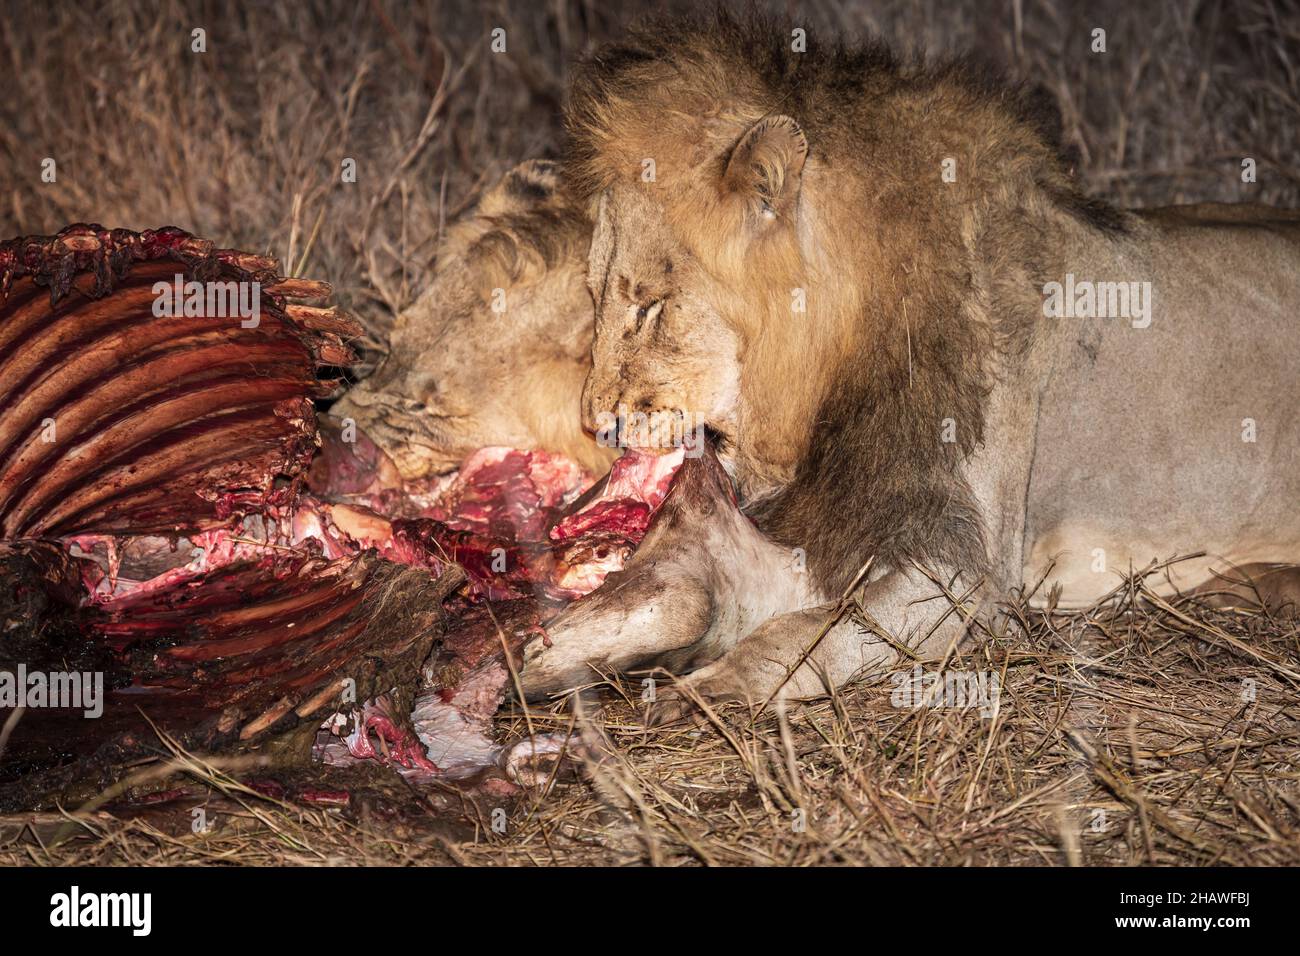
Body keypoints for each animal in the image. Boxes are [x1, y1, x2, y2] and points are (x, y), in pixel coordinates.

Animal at [517, 13, 1300, 712]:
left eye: (650, 306)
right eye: (593, 299)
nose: (595, 424)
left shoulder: (965, 574)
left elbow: (806, 634)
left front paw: (710, 689)